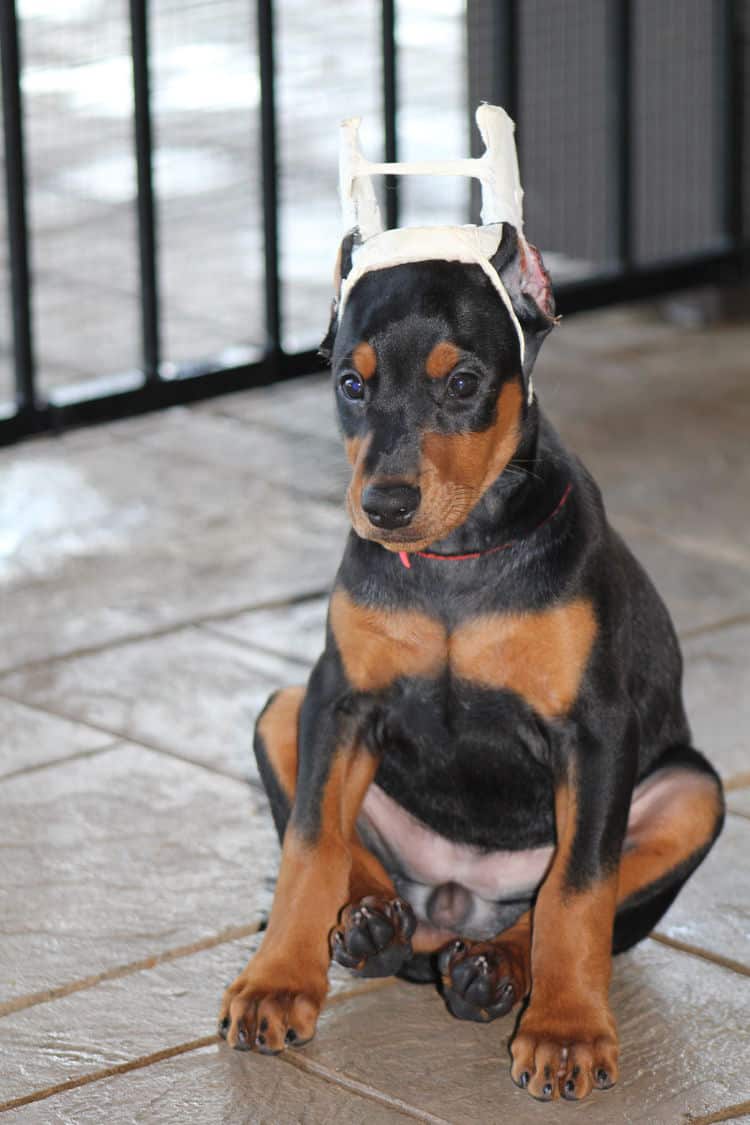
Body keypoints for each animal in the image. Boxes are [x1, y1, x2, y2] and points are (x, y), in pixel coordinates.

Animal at [221, 223, 728, 1102]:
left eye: (462, 383)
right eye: (350, 384)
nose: (385, 505)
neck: (456, 559)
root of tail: (456, 906)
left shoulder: (594, 730)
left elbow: (578, 887)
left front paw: (566, 1030)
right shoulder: (338, 698)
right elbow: (310, 843)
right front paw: (277, 980)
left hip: (694, 791)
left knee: (555, 906)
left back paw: (491, 970)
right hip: (286, 710)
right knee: (361, 864)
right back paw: (372, 929)